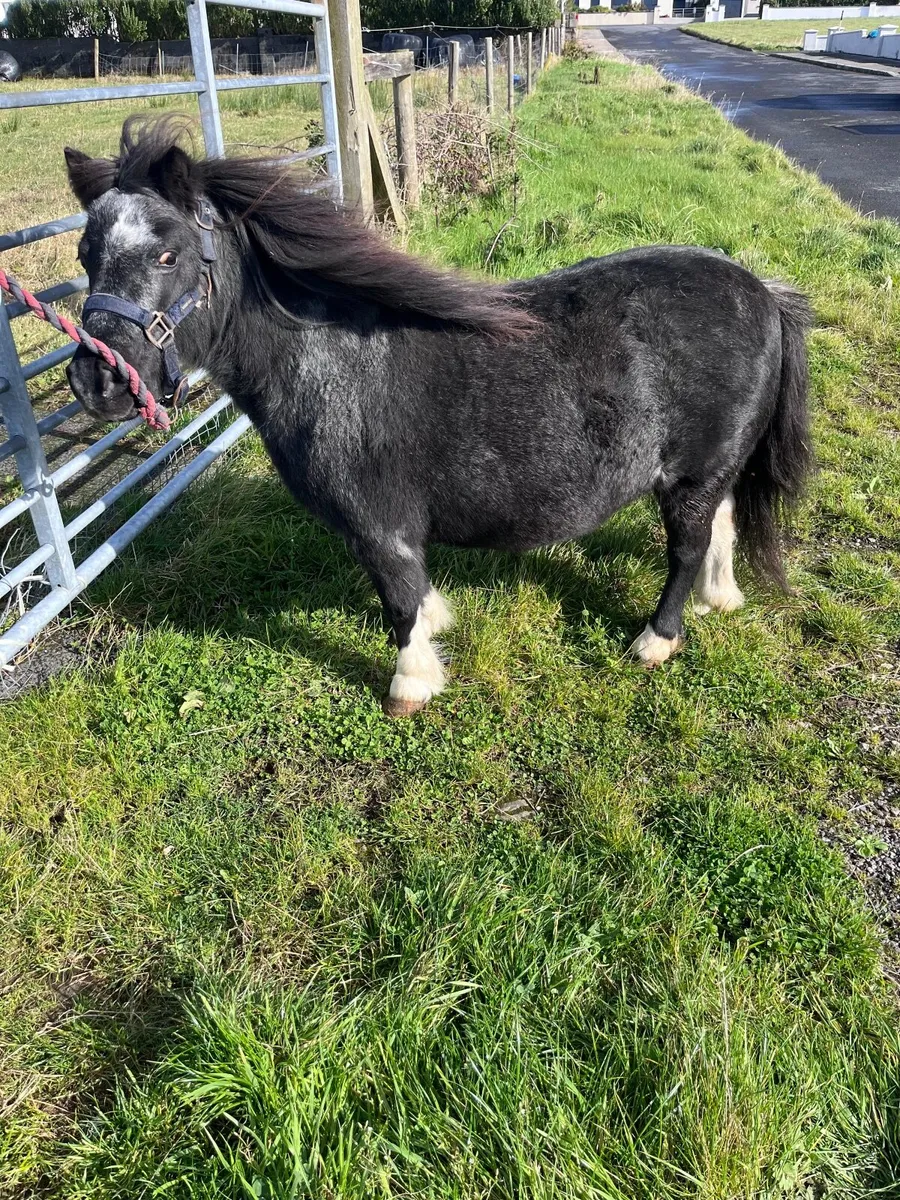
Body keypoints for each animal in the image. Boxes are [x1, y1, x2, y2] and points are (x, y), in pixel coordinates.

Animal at [63, 116, 813, 717]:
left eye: (168, 253)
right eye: (85, 256)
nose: (95, 380)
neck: (328, 356)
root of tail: (762, 292)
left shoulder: (379, 525)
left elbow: (400, 600)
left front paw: (410, 686)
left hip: (692, 474)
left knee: (686, 546)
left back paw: (656, 639)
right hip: (713, 471)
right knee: (721, 526)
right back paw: (719, 599)